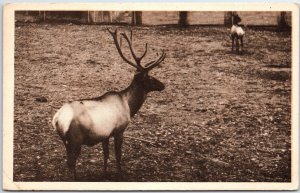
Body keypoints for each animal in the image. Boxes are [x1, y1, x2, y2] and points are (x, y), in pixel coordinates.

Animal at [51, 27, 164, 179]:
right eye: (150, 77)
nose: (163, 85)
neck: (128, 105)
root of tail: (57, 119)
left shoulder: (105, 135)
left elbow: (106, 155)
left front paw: (105, 173)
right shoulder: (119, 130)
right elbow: (118, 155)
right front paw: (120, 174)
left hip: (65, 141)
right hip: (75, 140)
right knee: (71, 163)